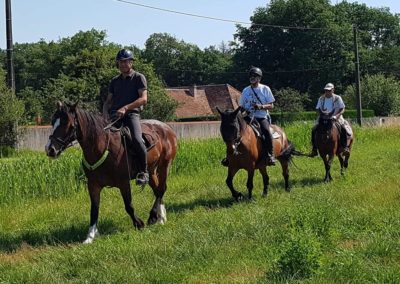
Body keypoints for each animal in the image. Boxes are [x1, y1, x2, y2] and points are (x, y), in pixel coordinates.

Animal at [45, 102, 177, 244]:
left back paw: (153, 217)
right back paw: (160, 217)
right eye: (53, 121)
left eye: (68, 123)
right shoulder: (93, 185)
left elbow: (128, 206)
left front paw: (139, 224)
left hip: (165, 166)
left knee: (161, 189)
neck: (102, 148)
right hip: (151, 171)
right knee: (158, 190)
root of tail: (167, 128)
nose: (50, 149)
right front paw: (90, 236)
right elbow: (94, 210)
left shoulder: (123, 183)